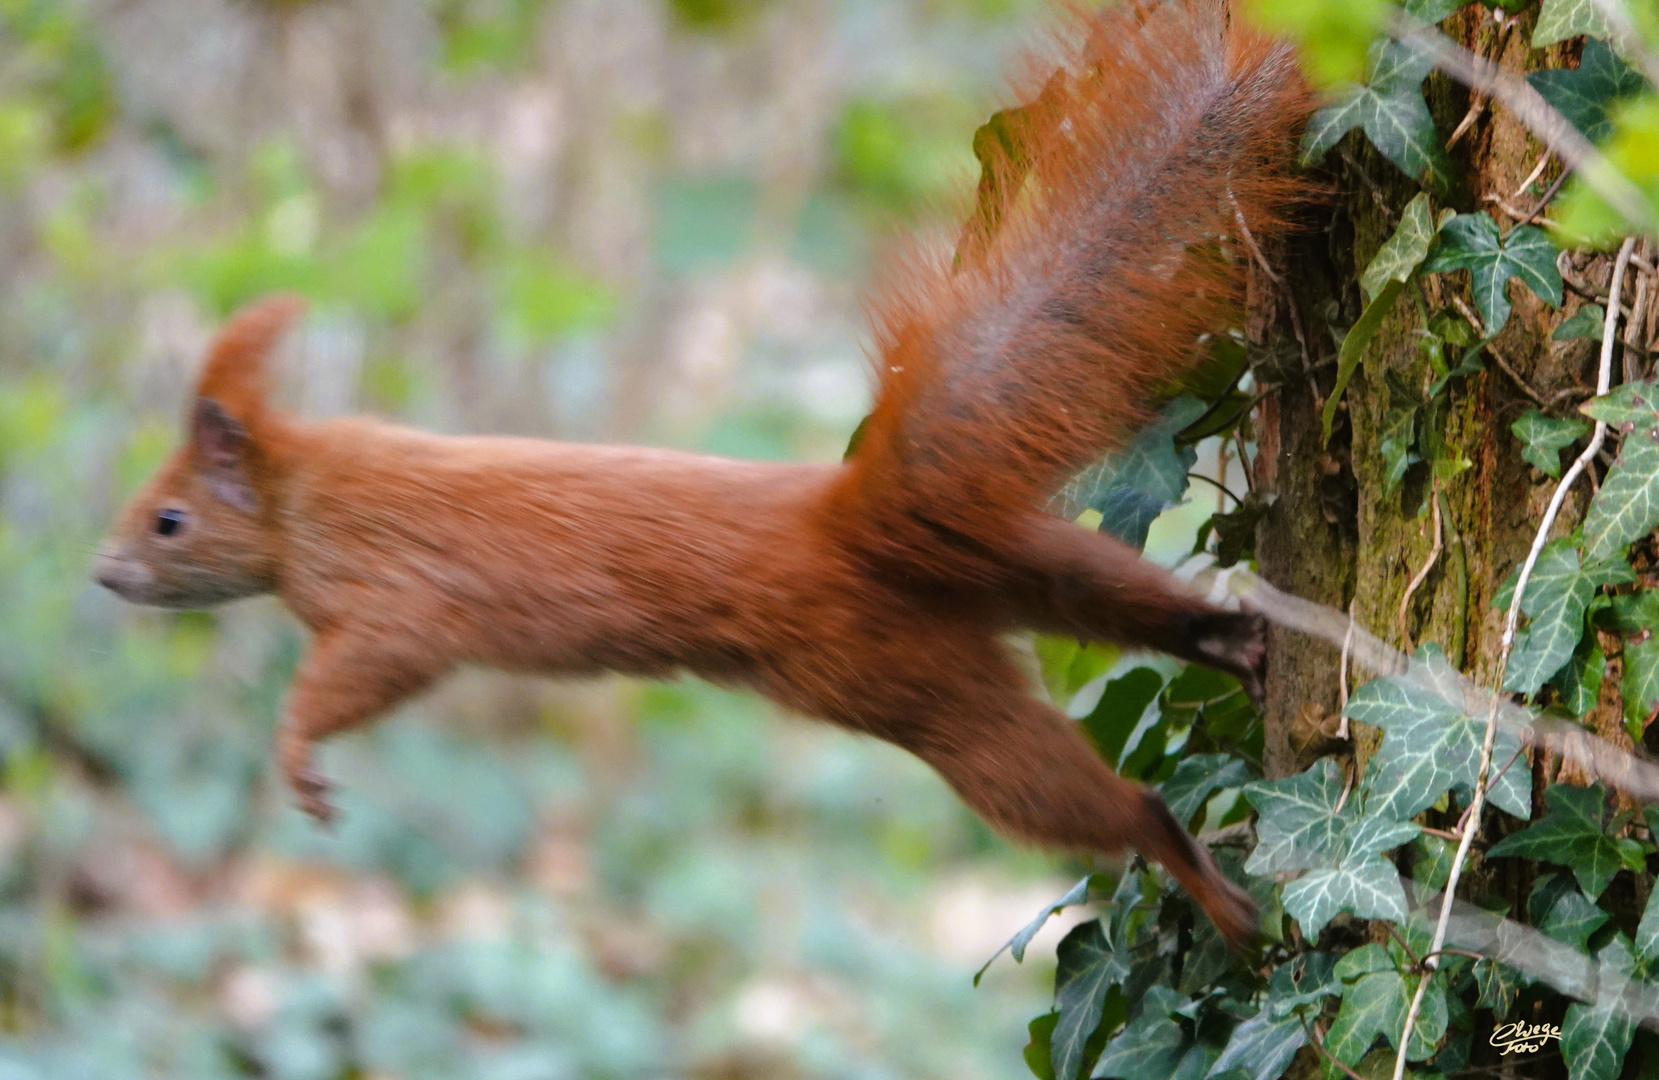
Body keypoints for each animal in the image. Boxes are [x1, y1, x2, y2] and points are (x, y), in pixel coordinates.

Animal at [90, 0, 1307, 948]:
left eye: (167, 520)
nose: (102, 576)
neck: (301, 494)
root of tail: (851, 520)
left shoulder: (393, 598)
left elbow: (371, 666)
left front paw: (295, 754)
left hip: (919, 690)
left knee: (1101, 797)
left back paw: (1199, 873)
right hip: (1019, 560)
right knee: (1127, 603)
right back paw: (1231, 642)